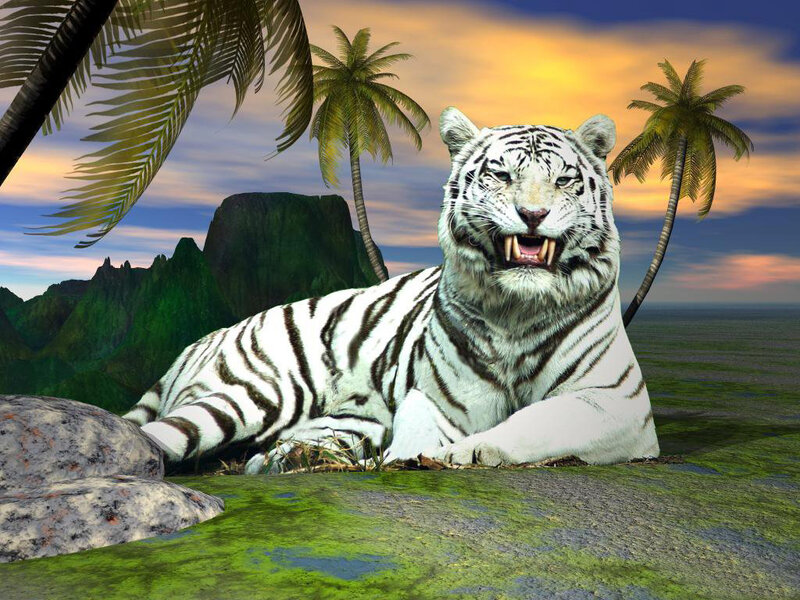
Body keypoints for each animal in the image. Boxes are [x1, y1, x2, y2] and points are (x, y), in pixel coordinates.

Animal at [123, 107, 660, 473]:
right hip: (252, 393)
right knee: (157, 434)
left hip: (334, 419)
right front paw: (415, 455)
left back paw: (292, 459)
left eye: (564, 180)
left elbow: (537, 421)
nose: (532, 215)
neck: (516, 309)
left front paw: (469, 451)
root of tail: (201, 340)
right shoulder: (440, 398)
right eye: (501, 174)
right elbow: (420, 424)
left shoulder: (617, 404)